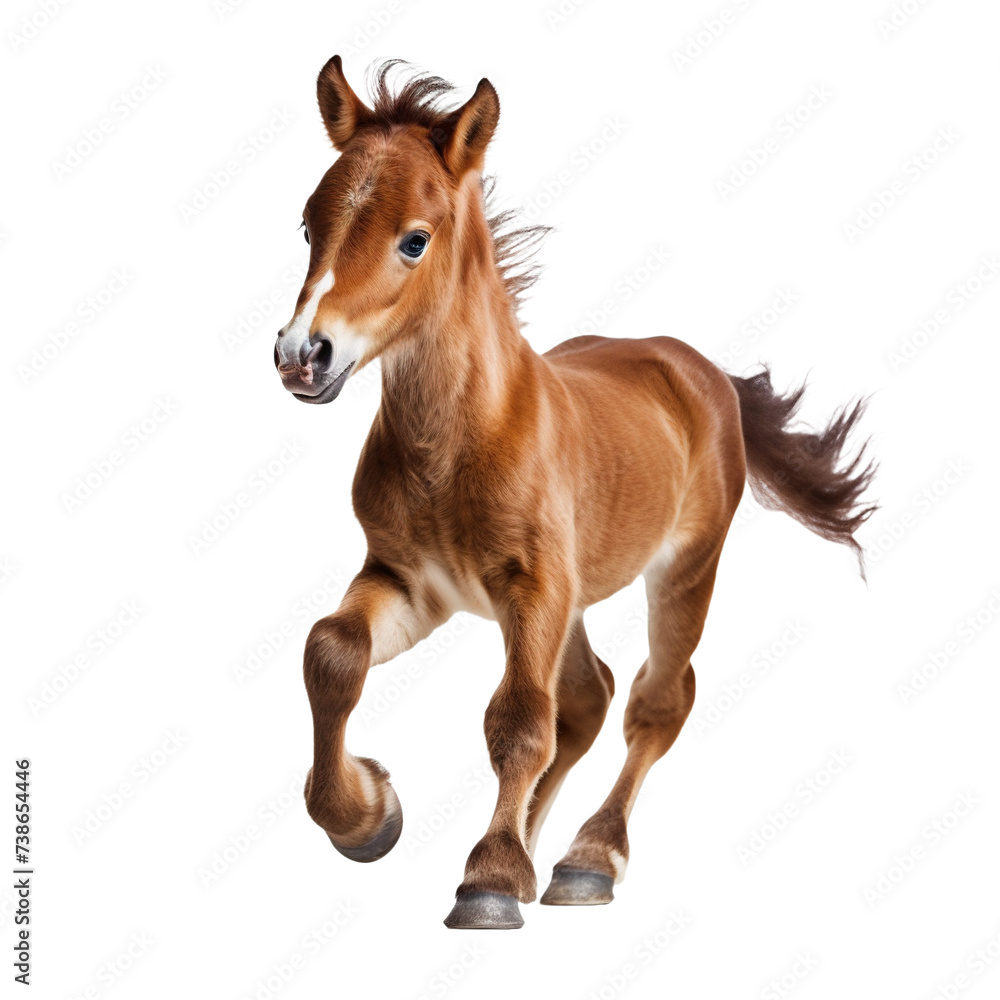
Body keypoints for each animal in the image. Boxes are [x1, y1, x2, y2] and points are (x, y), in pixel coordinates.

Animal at [272, 56, 877, 929]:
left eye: (415, 239)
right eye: (309, 225)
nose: (302, 357)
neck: (451, 447)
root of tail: (697, 367)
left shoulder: (534, 588)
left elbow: (521, 720)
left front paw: (489, 880)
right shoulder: (412, 581)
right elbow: (332, 652)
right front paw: (368, 816)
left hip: (683, 570)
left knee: (655, 700)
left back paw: (585, 861)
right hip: (575, 597)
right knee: (590, 697)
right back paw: (537, 856)